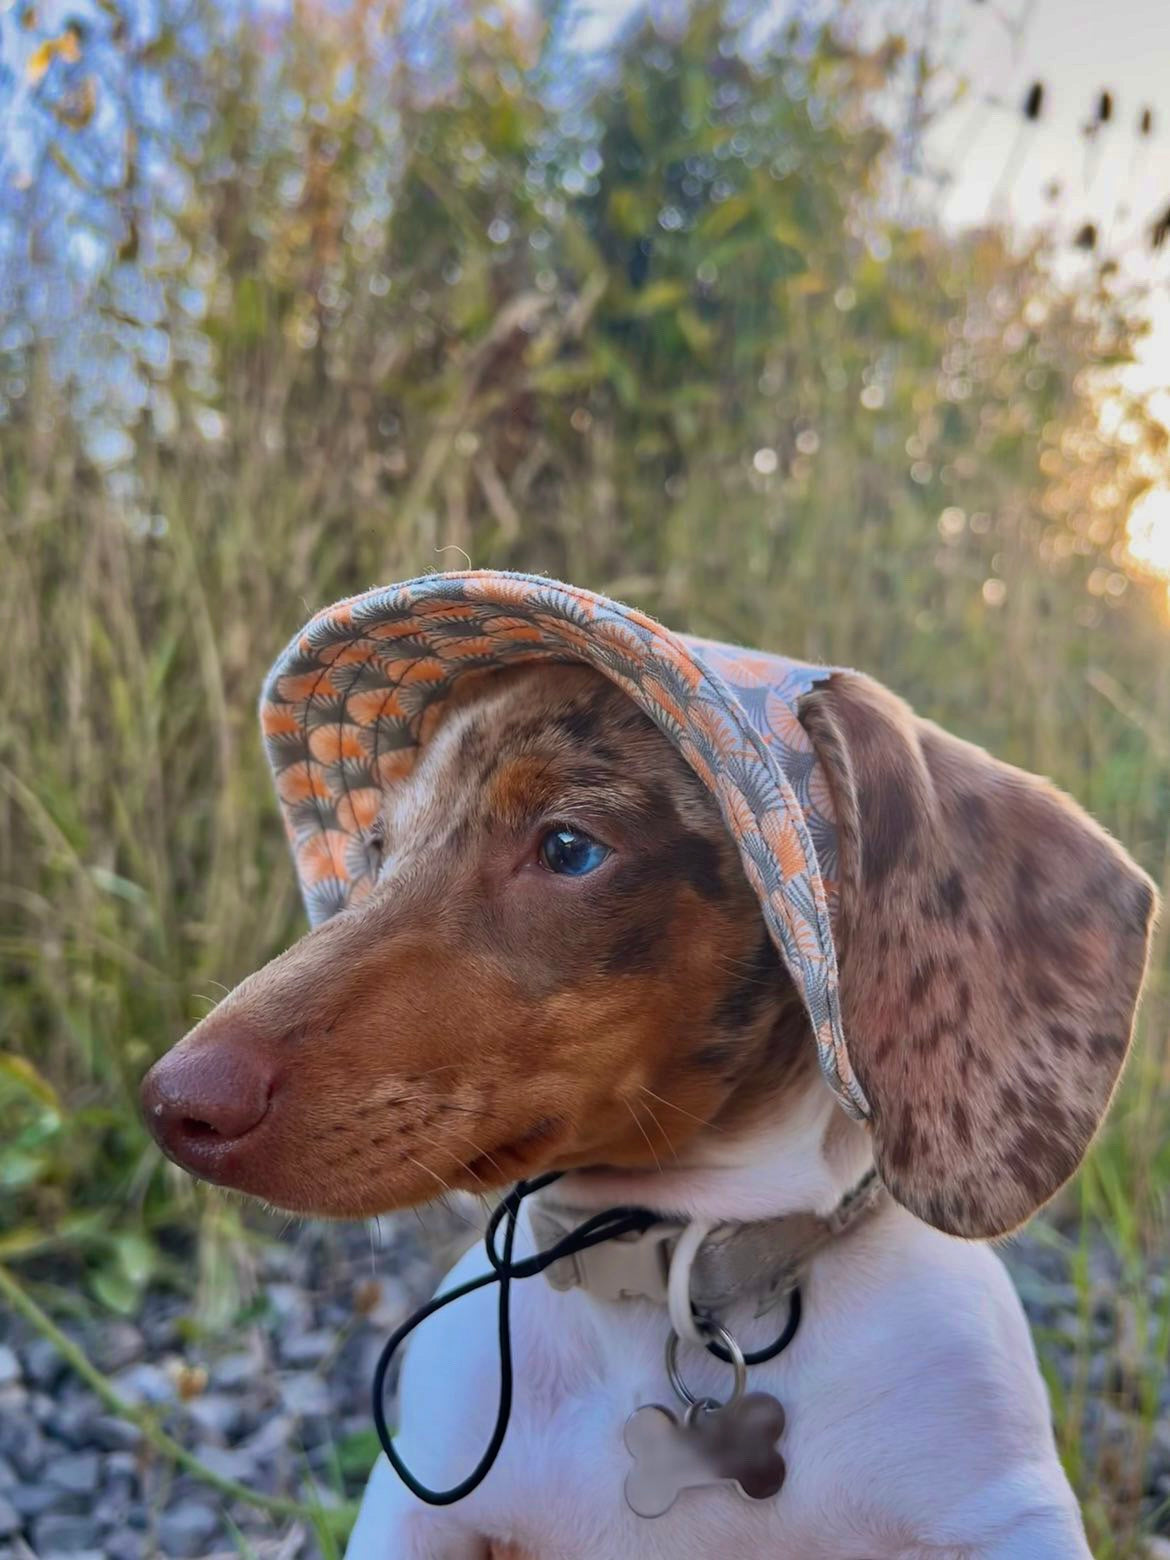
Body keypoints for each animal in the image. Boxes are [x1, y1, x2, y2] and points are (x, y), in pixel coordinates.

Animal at [144, 661, 1154, 1560]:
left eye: (569, 848)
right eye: (381, 852)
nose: (172, 1106)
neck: (667, 1283)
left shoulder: (1000, 1507)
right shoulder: (415, 1512)